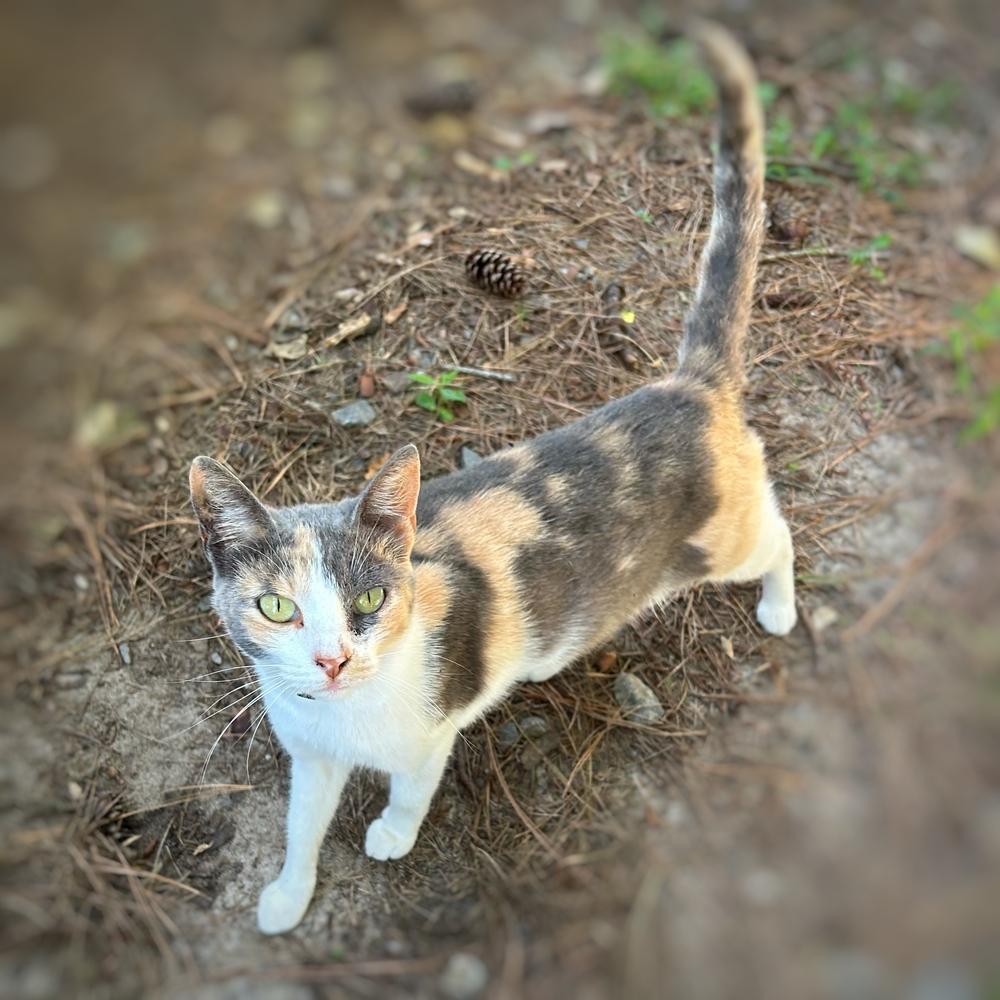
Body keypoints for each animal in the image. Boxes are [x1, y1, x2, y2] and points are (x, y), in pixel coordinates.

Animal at [189, 23, 796, 936]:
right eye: (275, 608)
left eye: (370, 600)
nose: (331, 660)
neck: (345, 717)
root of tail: (687, 385)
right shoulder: (311, 756)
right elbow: (300, 828)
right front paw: (289, 897)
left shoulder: (427, 735)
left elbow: (411, 788)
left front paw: (391, 835)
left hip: (728, 540)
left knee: (781, 533)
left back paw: (781, 607)